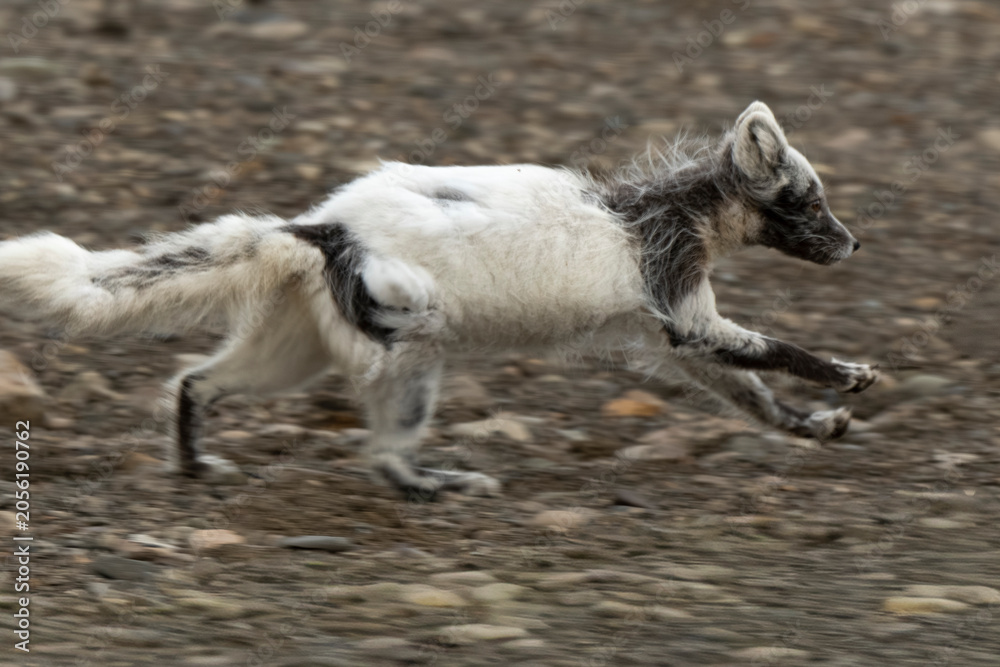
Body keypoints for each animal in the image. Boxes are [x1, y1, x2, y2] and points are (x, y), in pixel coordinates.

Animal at [0, 101, 877, 500]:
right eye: (807, 200)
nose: (853, 245)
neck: (670, 210)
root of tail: (319, 225)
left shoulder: (670, 331)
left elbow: (750, 390)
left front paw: (817, 425)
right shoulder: (680, 301)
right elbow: (775, 349)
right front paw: (852, 375)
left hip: (294, 348)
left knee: (196, 381)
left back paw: (193, 462)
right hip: (405, 346)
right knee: (385, 449)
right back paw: (437, 483)